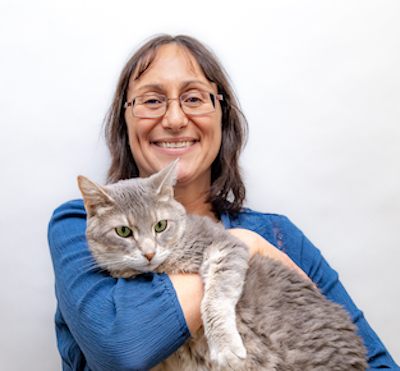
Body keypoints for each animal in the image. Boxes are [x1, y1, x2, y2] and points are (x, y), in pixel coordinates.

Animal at [76, 161, 368, 371]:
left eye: (160, 225)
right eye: (124, 231)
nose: (149, 253)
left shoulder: (224, 246)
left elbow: (215, 299)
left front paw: (225, 347)